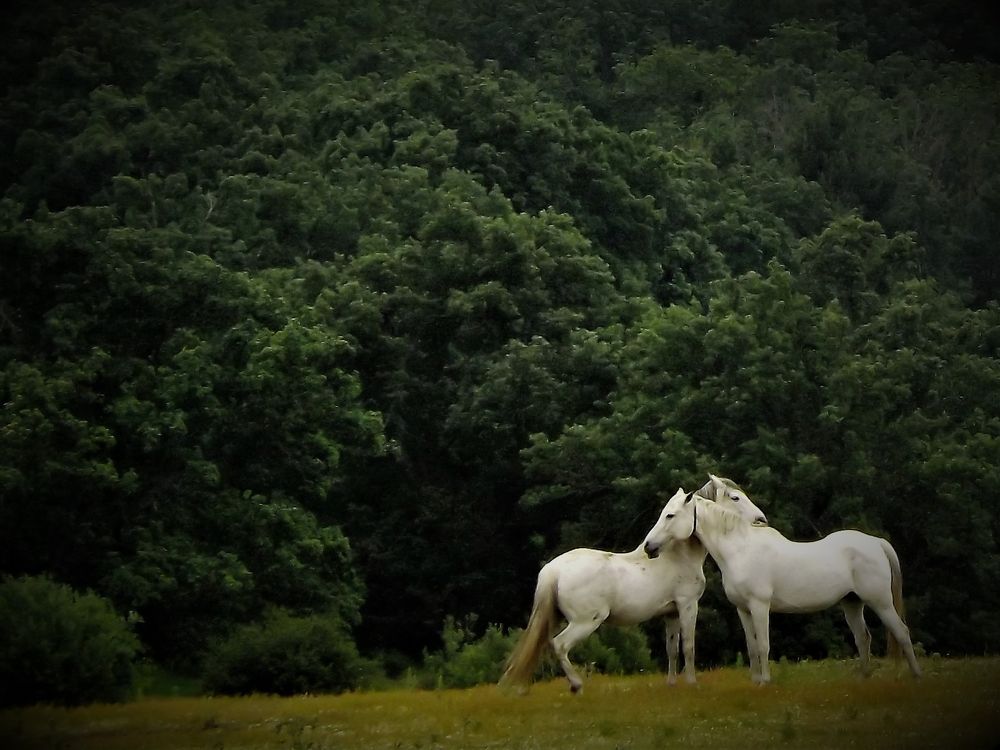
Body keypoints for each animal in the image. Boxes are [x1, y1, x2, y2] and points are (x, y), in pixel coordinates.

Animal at [504, 478, 768, 696]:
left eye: (669, 515)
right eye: (735, 497)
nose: (761, 520)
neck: (677, 556)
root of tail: (554, 569)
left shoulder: (671, 614)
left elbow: (671, 649)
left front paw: (672, 684)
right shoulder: (687, 606)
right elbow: (688, 646)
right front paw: (692, 683)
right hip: (585, 622)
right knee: (559, 645)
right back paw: (576, 685)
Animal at [640, 490, 920, 684]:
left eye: (670, 515)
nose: (649, 546)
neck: (741, 549)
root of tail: (876, 542)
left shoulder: (760, 606)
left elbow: (764, 644)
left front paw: (765, 682)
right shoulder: (743, 609)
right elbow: (752, 646)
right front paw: (755, 681)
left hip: (880, 601)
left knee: (902, 632)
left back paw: (916, 677)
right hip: (852, 603)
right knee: (863, 638)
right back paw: (863, 679)